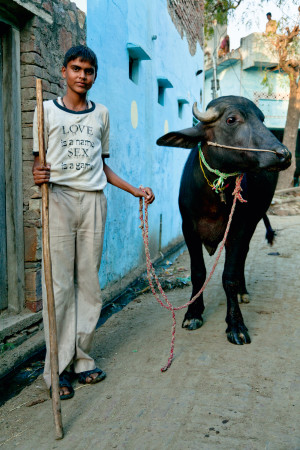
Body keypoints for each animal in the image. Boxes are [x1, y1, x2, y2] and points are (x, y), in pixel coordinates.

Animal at [157, 96, 290, 344]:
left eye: (262, 118)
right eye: (231, 119)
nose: (283, 154)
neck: (213, 197)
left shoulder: (238, 229)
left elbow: (229, 277)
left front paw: (236, 325)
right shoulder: (188, 229)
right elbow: (198, 273)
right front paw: (193, 313)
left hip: (252, 222)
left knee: (243, 257)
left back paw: (243, 292)